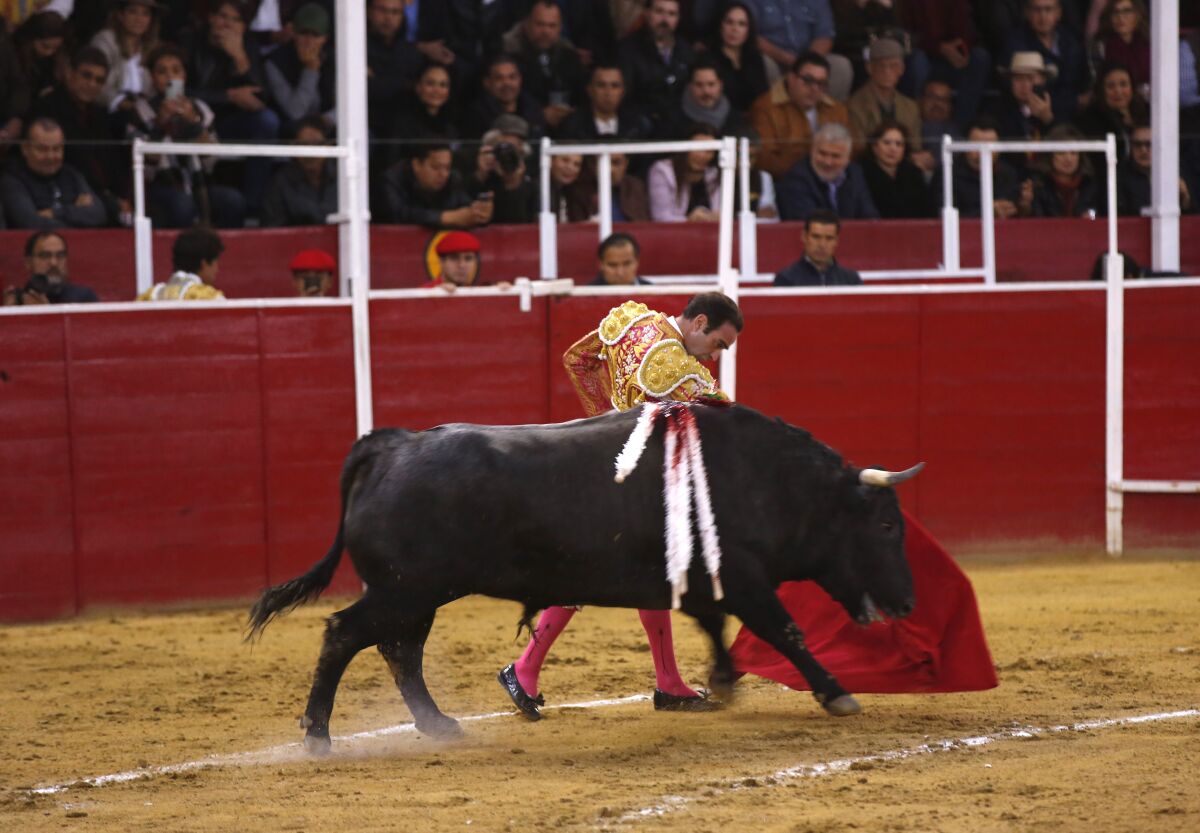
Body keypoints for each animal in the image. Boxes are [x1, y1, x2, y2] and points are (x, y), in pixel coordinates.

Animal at [243, 400, 916, 753]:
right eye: (886, 526)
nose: (908, 602)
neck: (768, 479)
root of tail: (392, 445)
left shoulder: (705, 583)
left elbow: (711, 627)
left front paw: (718, 684)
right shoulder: (745, 578)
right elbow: (785, 631)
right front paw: (837, 693)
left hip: (416, 595)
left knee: (400, 652)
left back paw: (439, 725)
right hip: (403, 589)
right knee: (345, 635)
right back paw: (318, 735)